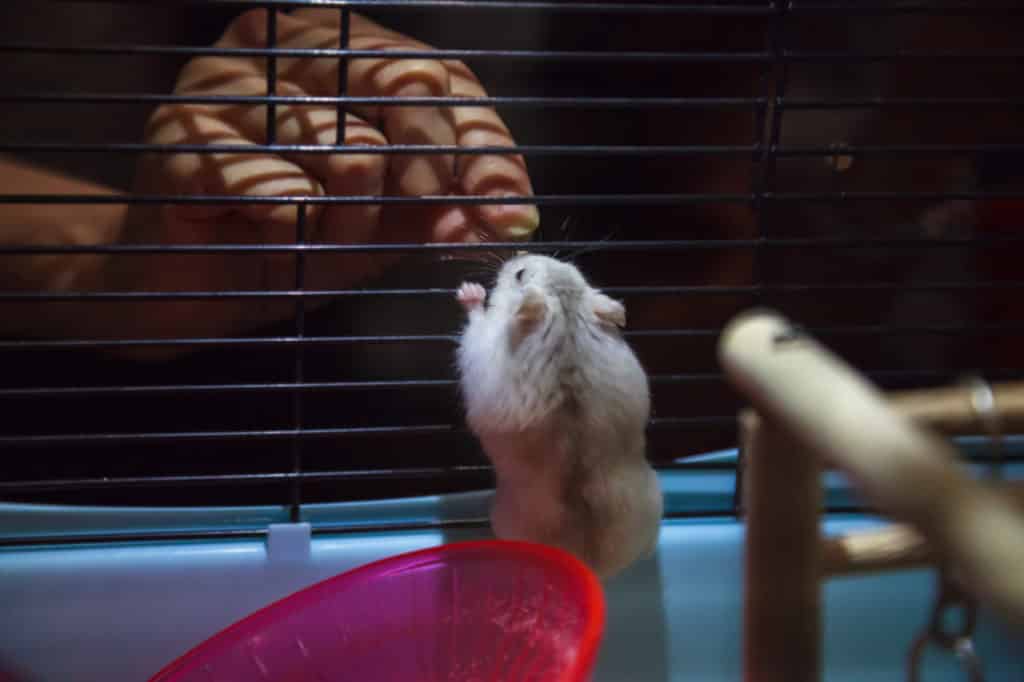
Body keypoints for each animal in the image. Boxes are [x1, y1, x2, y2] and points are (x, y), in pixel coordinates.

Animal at [456, 251, 663, 577]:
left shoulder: (482, 347)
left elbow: (476, 325)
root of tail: (589, 565)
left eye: (520, 274)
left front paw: (469, 290)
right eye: (572, 267)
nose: (518, 254)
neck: (566, 319)